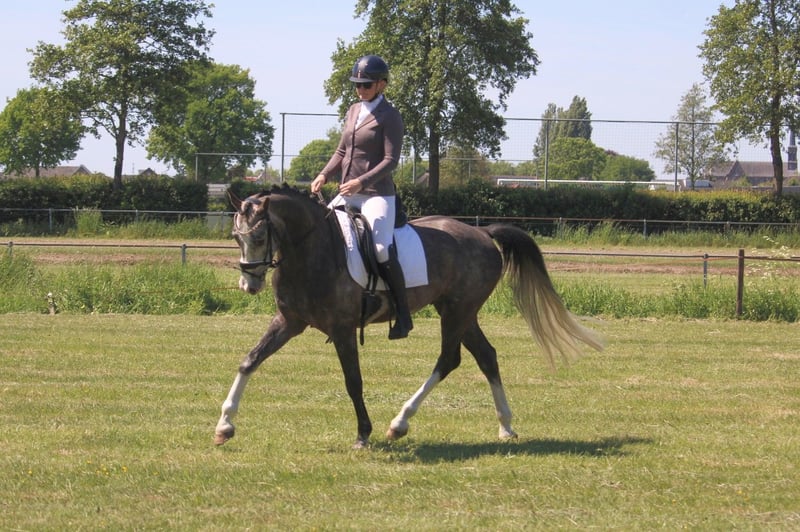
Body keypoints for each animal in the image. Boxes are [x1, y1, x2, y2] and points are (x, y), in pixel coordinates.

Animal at [214, 185, 603, 449]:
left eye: (260, 235)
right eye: (235, 236)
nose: (249, 284)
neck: (310, 250)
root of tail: (480, 232)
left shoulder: (342, 329)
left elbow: (353, 381)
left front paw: (363, 433)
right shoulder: (289, 322)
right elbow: (249, 360)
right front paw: (224, 424)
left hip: (458, 312)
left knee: (449, 359)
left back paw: (399, 422)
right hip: (459, 312)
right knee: (486, 357)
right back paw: (505, 426)